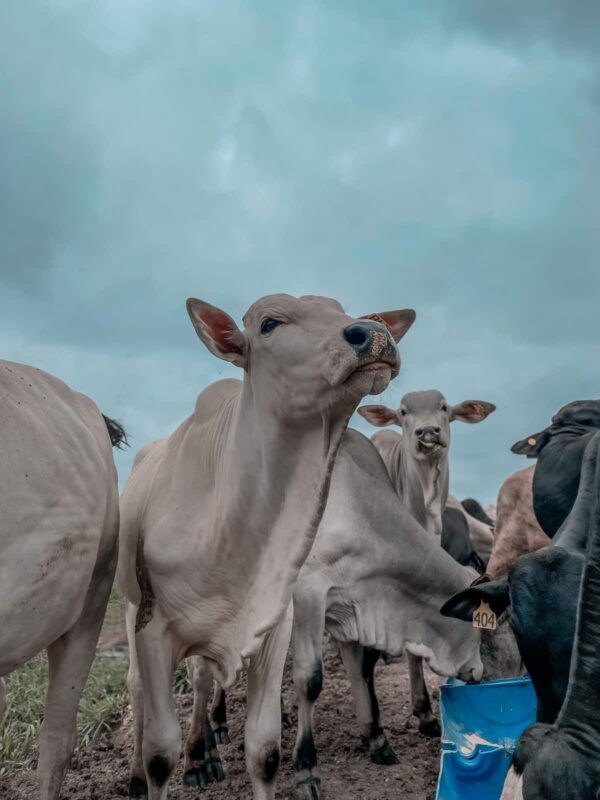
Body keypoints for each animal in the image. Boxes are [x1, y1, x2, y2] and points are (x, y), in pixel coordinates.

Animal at [119, 296, 414, 800]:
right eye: (269, 323)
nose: (373, 335)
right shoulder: (152, 632)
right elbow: (160, 752)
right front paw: (168, 766)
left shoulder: (272, 628)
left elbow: (264, 749)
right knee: (141, 688)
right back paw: (155, 772)